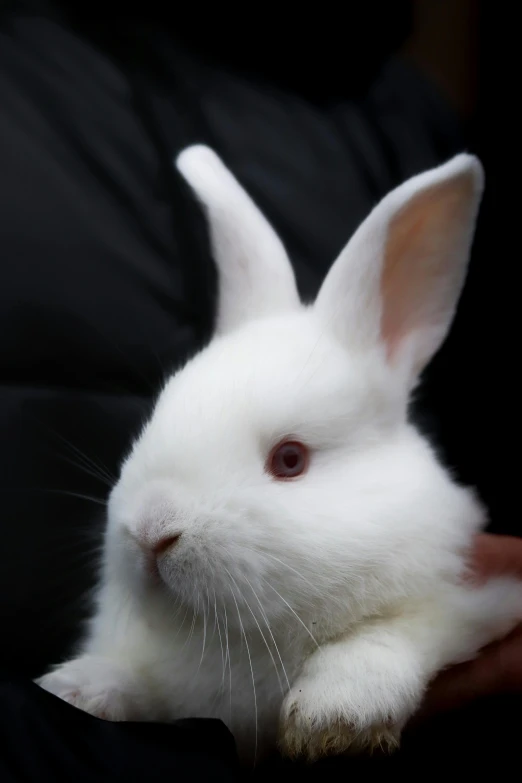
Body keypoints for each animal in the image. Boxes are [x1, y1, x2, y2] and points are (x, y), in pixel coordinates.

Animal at [37, 147, 520, 764]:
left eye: (290, 460)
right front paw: (78, 686)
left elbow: (390, 633)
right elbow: (142, 685)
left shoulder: (472, 602)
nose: (151, 532)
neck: (227, 639)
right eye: (157, 416)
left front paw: (334, 715)